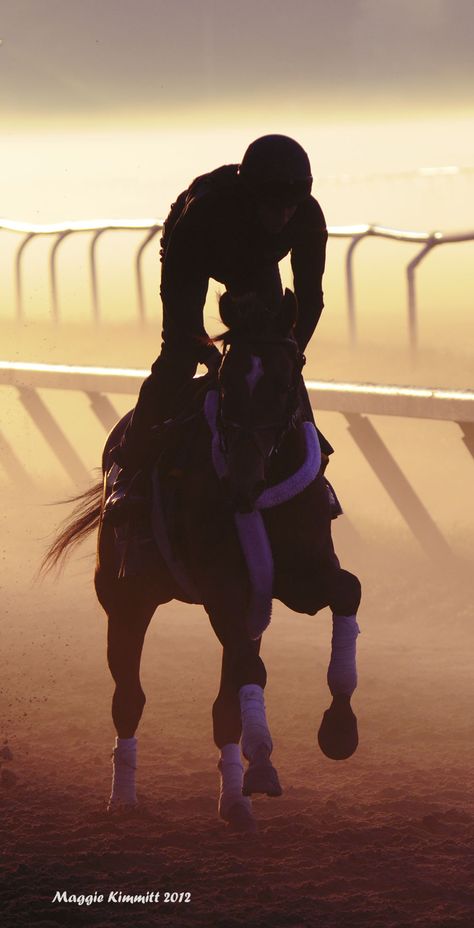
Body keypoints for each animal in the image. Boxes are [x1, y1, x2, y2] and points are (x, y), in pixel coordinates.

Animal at [45, 290, 362, 832]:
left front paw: (339, 728)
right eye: (228, 380)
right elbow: (251, 669)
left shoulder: (301, 578)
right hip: (125, 599)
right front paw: (263, 761)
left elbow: (348, 591)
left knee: (222, 705)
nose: (242, 481)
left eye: (285, 379)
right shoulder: (223, 591)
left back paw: (234, 803)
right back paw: (123, 798)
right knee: (129, 698)